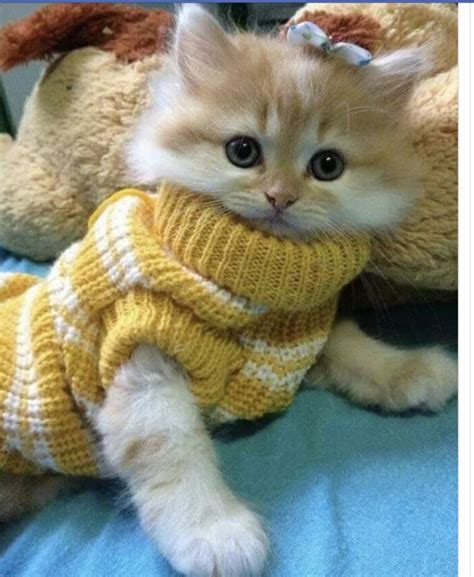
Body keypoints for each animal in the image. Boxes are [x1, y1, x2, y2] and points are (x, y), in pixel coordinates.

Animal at [1, 5, 458, 576]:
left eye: (327, 165)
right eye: (243, 151)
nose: (280, 197)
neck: (250, 293)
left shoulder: (294, 347)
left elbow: (354, 350)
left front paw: (416, 371)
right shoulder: (140, 362)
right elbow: (173, 451)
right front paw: (214, 534)